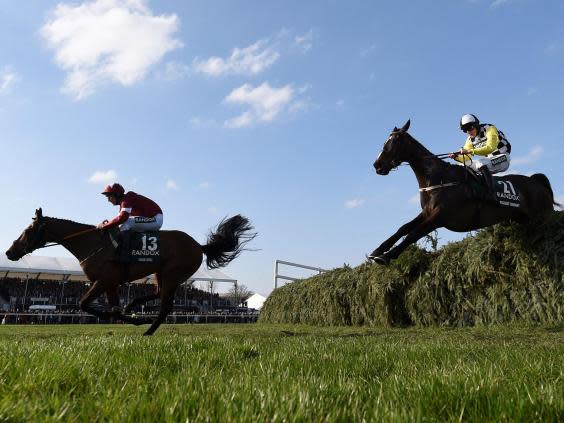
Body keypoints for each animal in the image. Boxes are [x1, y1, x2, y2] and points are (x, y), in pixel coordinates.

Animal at [3, 210, 256, 336]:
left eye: (28, 230)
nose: (9, 251)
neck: (91, 243)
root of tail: (199, 246)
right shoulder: (111, 284)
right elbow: (112, 308)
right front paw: (131, 316)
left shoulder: (104, 280)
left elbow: (85, 304)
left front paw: (135, 319)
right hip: (162, 272)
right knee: (158, 294)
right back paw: (135, 307)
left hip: (173, 273)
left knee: (165, 306)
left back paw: (149, 330)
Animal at [368, 120, 556, 264]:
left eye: (392, 143)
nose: (377, 165)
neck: (438, 178)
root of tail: (536, 181)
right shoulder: (427, 211)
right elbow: (403, 228)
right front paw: (377, 251)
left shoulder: (440, 216)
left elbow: (414, 233)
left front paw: (387, 256)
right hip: (524, 219)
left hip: (541, 215)